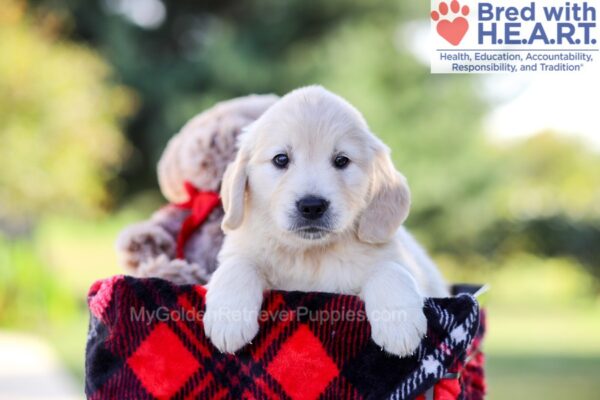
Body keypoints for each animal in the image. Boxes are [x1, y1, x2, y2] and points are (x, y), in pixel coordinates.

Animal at [204, 85, 448, 356]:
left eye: (341, 160)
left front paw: (399, 326)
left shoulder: (393, 257)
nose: (312, 206)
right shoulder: (240, 250)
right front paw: (229, 320)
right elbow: (236, 266)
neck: (310, 254)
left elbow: (391, 269)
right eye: (281, 159)